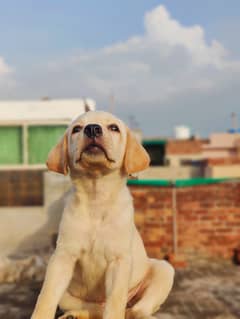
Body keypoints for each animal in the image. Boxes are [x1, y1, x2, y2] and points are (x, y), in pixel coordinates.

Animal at [30, 111, 174, 319]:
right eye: (76, 129)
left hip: (164, 270)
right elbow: (46, 296)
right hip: (68, 295)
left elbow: (115, 303)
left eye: (114, 128)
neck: (96, 197)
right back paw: (73, 315)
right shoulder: (62, 257)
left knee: (135, 309)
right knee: (93, 309)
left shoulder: (119, 261)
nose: (92, 128)